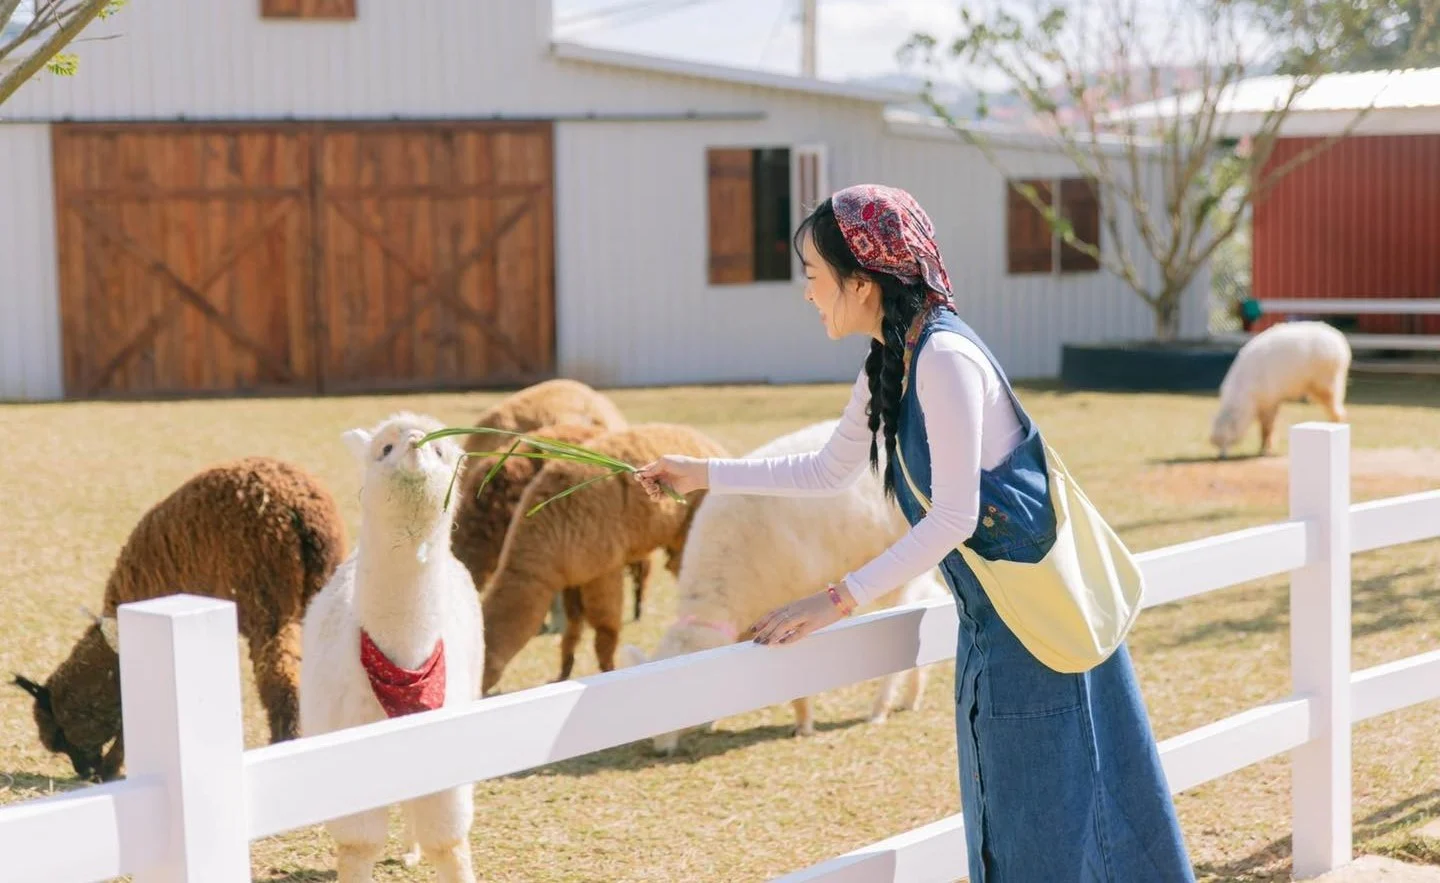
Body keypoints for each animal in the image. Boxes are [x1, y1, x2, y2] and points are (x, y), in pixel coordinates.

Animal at [299, 411, 483, 881]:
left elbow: (449, 843)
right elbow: (358, 845)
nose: (416, 443)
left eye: (441, 450)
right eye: (384, 448)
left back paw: (412, 850)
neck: (404, 669)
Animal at [1215, 316, 1347, 458]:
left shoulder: (1269, 401)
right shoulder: (1265, 403)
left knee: (1336, 410)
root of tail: (1340, 341)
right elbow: (1265, 428)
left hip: (1325, 383)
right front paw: (1262, 449)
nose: (1221, 456)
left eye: (1227, 439)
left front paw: (1265, 451)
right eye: (1218, 443)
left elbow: (1268, 427)